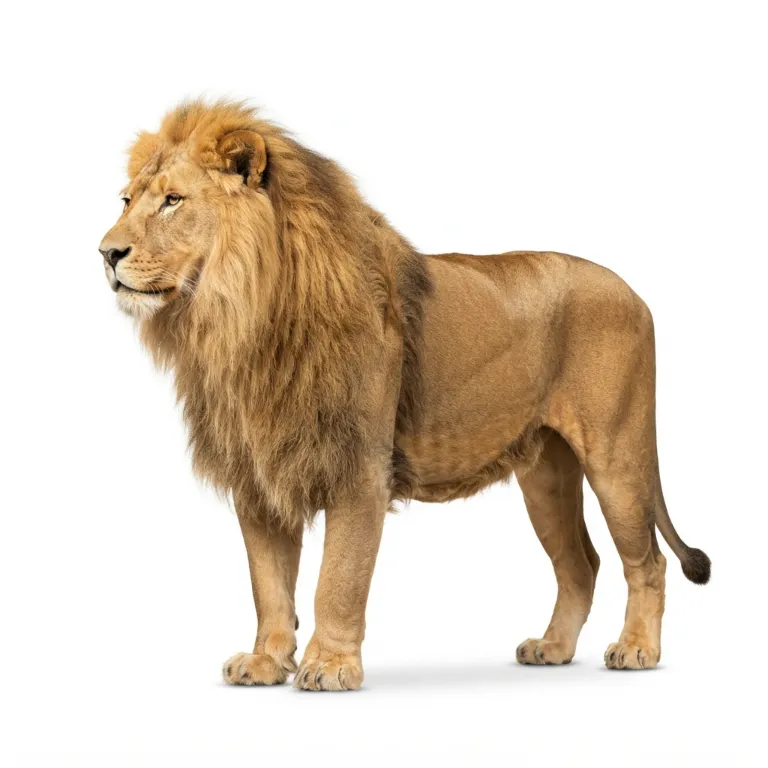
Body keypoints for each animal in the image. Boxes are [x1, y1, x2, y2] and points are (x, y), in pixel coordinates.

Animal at [99, 100, 710, 690]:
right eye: (127, 201)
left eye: (173, 201)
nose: (106, 252)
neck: (239, 320)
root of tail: (634, 293)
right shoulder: (259, 473)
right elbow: (268, 583)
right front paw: (266, 662)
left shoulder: (359, 466)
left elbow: (338, 579)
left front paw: (331, 667)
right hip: (546, 474)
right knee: (581, 564)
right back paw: (552, 648)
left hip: (616, 455)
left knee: (647, 561)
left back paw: (637, 650)